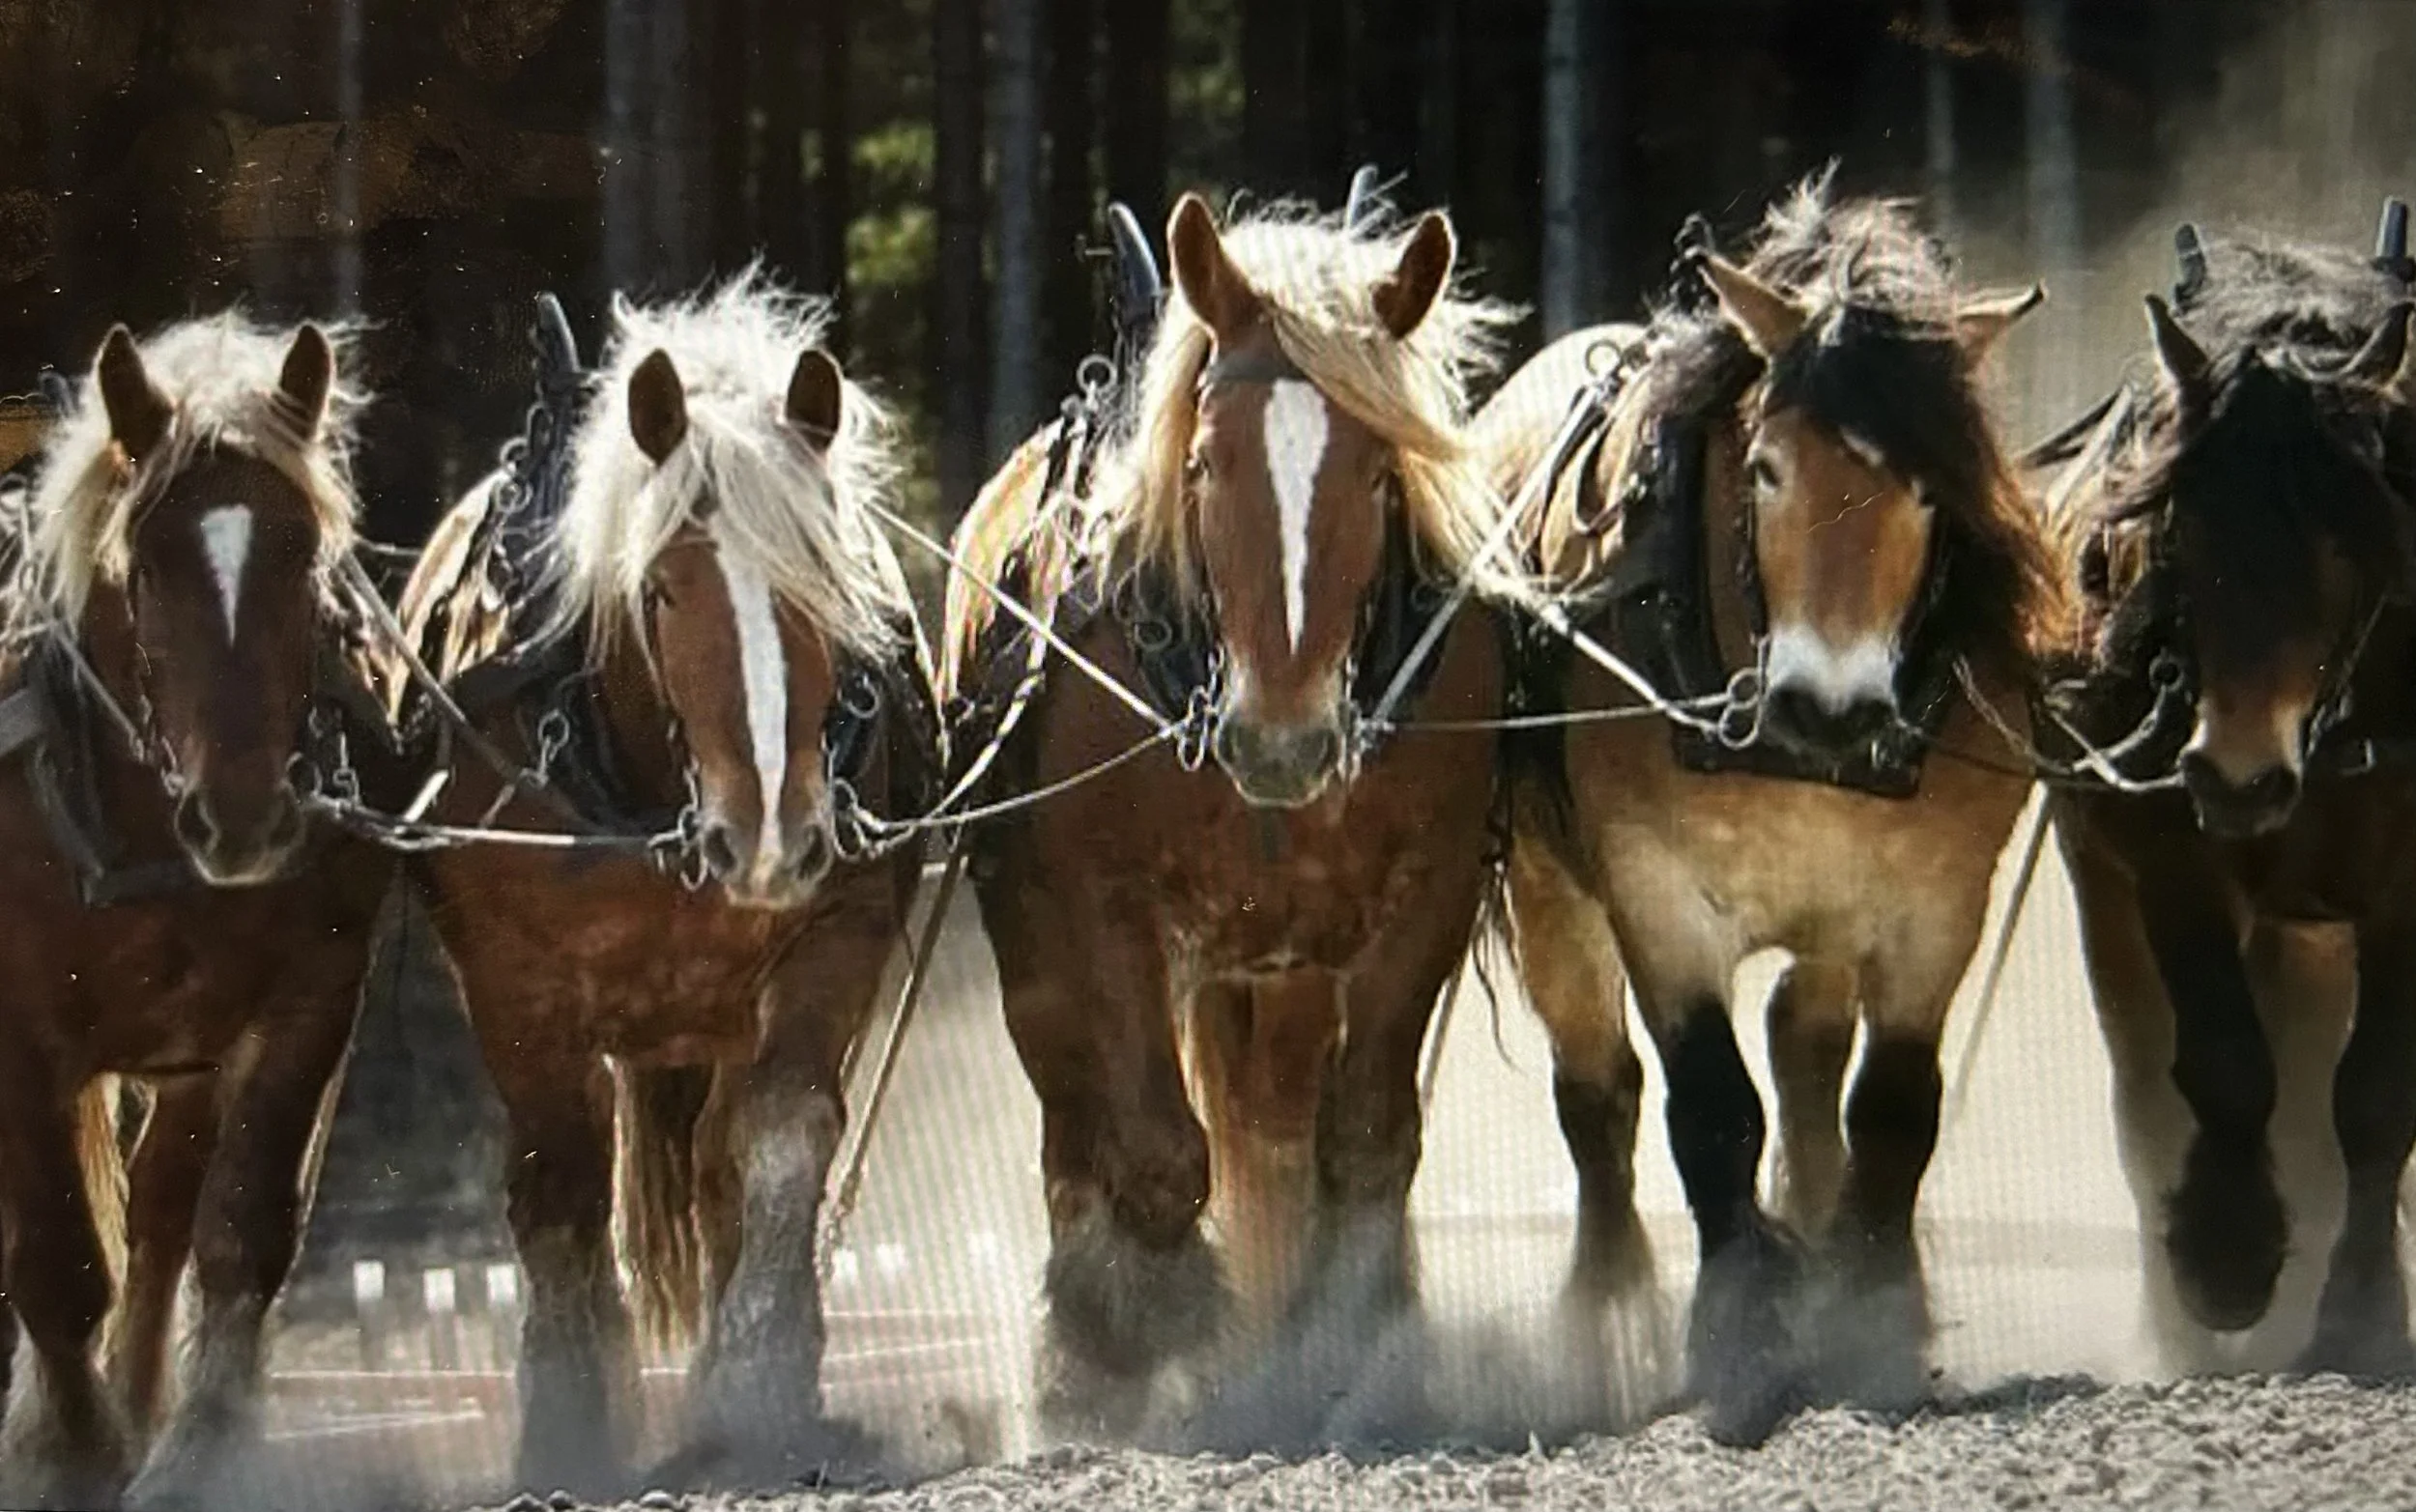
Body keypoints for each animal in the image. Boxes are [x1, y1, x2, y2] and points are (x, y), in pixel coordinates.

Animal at [0, 315, 396, 1508]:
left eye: (305, 553)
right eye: (145, 564)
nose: (246, 816)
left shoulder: (311, 996)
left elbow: (240, 1227)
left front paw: (197, 1447)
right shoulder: (19, 1036)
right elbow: (56, 1259)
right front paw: (71, 1454)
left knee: (167, 1209)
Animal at [394, 271, 936, 1493]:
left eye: (822, 579)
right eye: (664, 591)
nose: (771, 832)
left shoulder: (837, 926)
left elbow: (783, 1133)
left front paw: (761, 1384)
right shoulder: (515, 984)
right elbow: (558, 1177)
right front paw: (568, 1418)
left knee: (723, 1168)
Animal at [942, 190, 1518, 1444]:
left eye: (1377, 472)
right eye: (1203, 464)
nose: (1282, 738)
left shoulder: (1431, 887)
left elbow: (1364, 1135)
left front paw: (1349, 1345)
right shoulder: (1097, 904)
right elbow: (1159, 1155)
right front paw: (1166, 1351)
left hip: (1283, 968)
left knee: (1279, 1127)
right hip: (1039, 945)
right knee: (1077, 1130)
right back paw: (1087, 1357)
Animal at [1471, 176, 2058, 1445]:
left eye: (1930, 486)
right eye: (1769, 467)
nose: (1825, 705)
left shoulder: (1935, 903)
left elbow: (1891, 1105)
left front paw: (1872, 1315)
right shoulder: (1654, 893)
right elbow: (1709, 1106)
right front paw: (1740, 1333)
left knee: (1805, 1040)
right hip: (1549, 889)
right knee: (1598, 1095)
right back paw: (1609, 1319)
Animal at [2041, 218, 2416, 1376]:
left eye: (2348, 541)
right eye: (2180, 531)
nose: (2236, 772)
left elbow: (2375, 1096)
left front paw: (2361, 1312)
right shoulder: (2172, 851)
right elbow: (2223, 1062)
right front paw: (2226, 1256)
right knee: (2147, 1089)